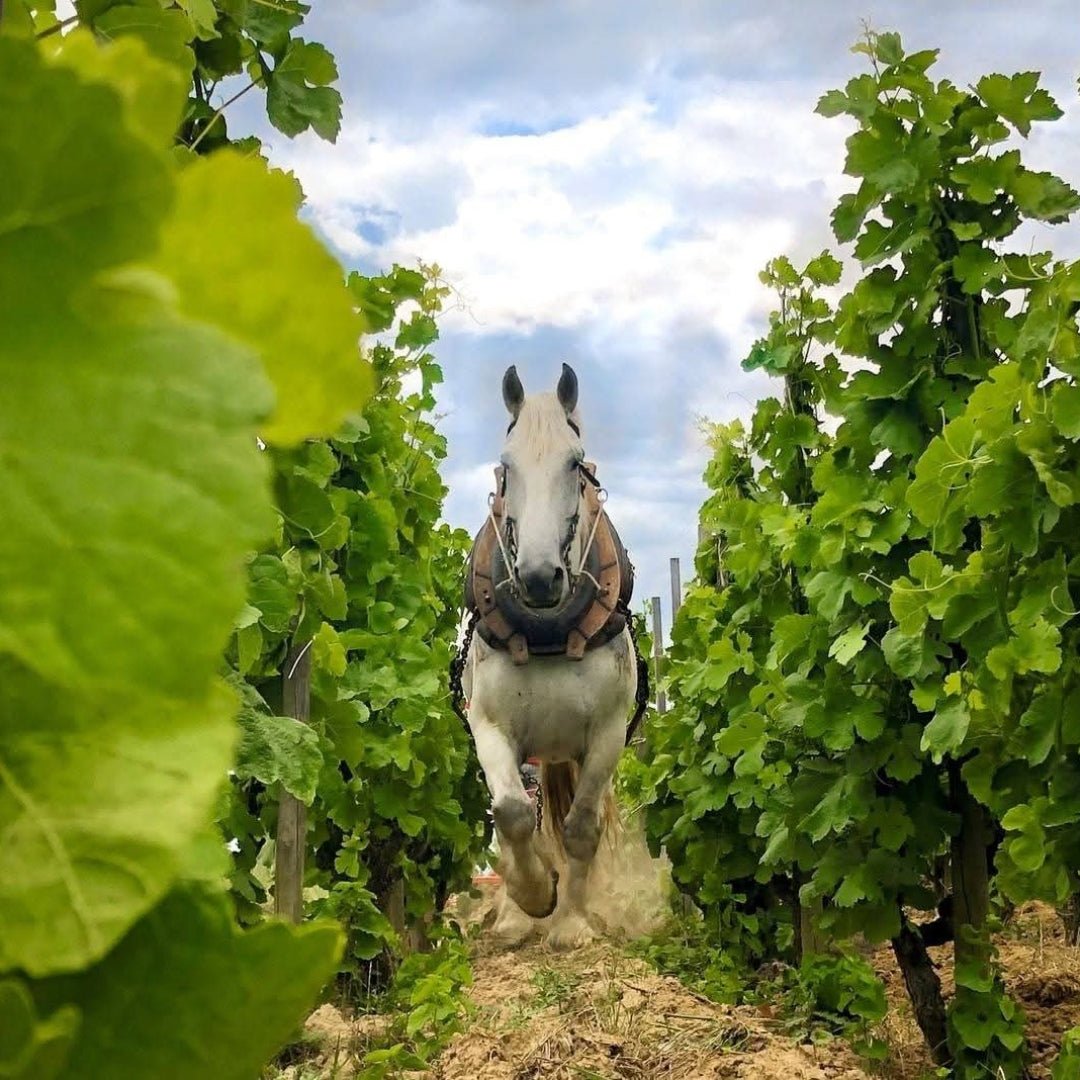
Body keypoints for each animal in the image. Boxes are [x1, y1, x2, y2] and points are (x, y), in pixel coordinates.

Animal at [460, 362, 635, 946]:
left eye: (575, 463)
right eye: (506, 466)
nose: (538, 577)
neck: (548, 634)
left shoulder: (608, 732)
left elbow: (580, 827)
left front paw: (573, 922)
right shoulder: (489, 725)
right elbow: (513, 814)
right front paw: (534, 897)